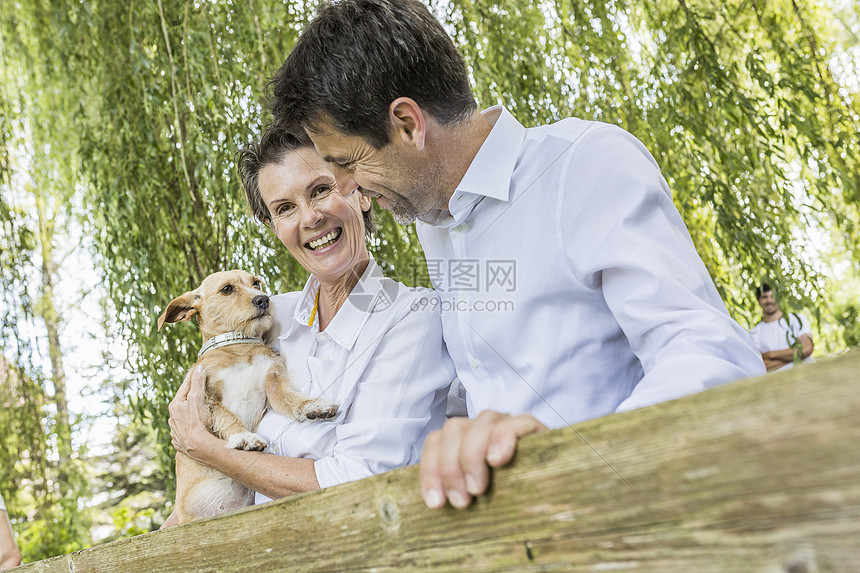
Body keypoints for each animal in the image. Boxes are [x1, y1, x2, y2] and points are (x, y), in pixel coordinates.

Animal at [158, 270, 336, 524]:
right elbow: (227, 416)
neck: (238, 345)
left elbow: (291, 398)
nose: (264, 300)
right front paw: (243, 437)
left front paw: (313, 405)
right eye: (227, 289)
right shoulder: (207, 397)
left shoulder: (273, 384)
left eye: (256, 283)